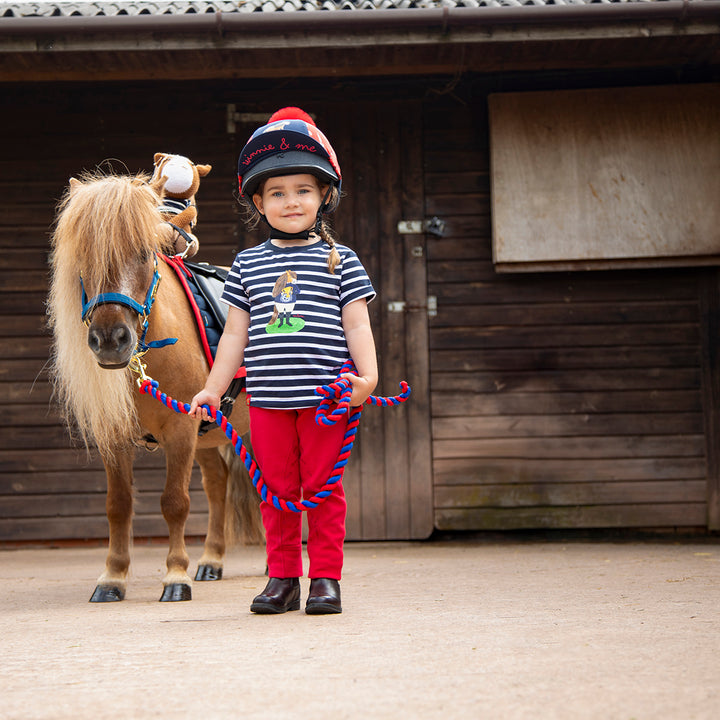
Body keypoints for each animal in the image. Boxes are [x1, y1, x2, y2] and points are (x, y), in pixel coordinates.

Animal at [48, 173, 262, 600]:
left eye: (146, 254)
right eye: (83, 258)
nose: (111, 339)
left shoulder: (180, 431)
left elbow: (174, 502)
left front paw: (176, 576)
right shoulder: (115, 437)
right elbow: (118, 504)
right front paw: (113, 577)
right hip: (208, 437)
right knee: (217, 482)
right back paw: (211, 560)